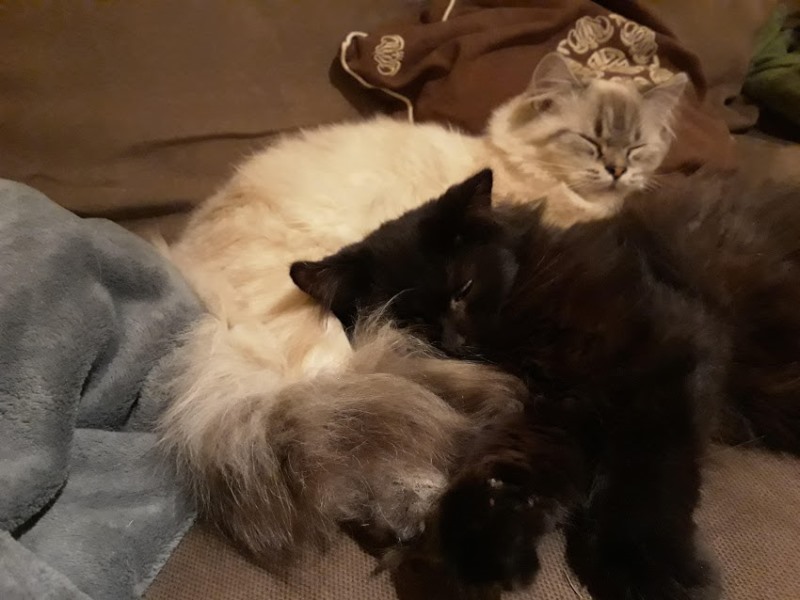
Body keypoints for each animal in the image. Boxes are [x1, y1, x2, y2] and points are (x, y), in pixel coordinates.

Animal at [290, 169, 800, 598]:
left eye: (463, 290)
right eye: (406, 321)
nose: (455, 342)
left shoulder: (664, 354)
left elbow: (644, 475)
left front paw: (645, 569)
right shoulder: (554, 410)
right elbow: (508, 467)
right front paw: (481, 547)